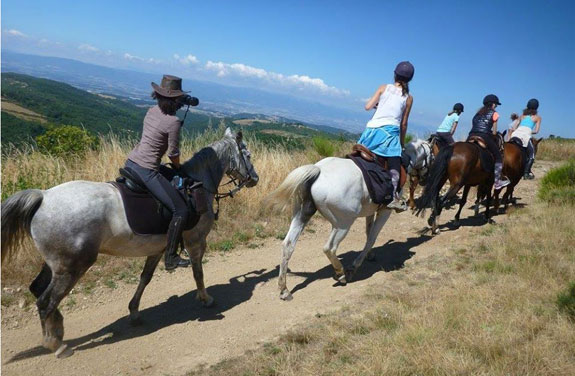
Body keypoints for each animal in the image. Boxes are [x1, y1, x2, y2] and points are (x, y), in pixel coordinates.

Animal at [1, 129, 258, 358]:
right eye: (247, 154)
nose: (255, 178)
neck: (197, 185)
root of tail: (43, 197)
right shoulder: (196, 241)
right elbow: (198, 273)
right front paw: (205, 299)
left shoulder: (158, 248)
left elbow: (145, 278)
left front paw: (134, 311)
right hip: (71, 267)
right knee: (45, 302)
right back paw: (56, 345)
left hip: (55, 264)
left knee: (38, 289)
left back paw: (58, 330)